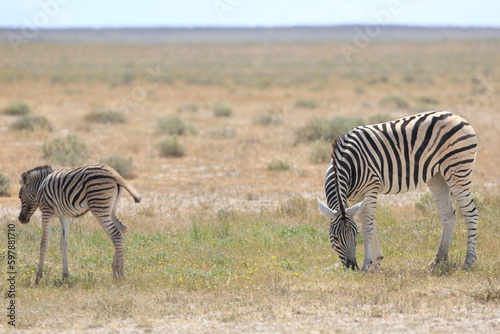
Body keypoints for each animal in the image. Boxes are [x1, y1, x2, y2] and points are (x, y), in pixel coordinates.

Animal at [318, 111, 478, 272]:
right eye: (335, 237)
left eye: (355, 234)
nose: (352, 267)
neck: (350, 165)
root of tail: (455, 115)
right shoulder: (355, 199)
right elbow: (370, 225)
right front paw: (377, 261)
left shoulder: (370, 189)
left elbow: (367, 227)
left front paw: (367, 264)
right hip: (437, 176)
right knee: (448, 215)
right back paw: (438, 260)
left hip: (457, 170)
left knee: (471, 213)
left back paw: (468, 261)